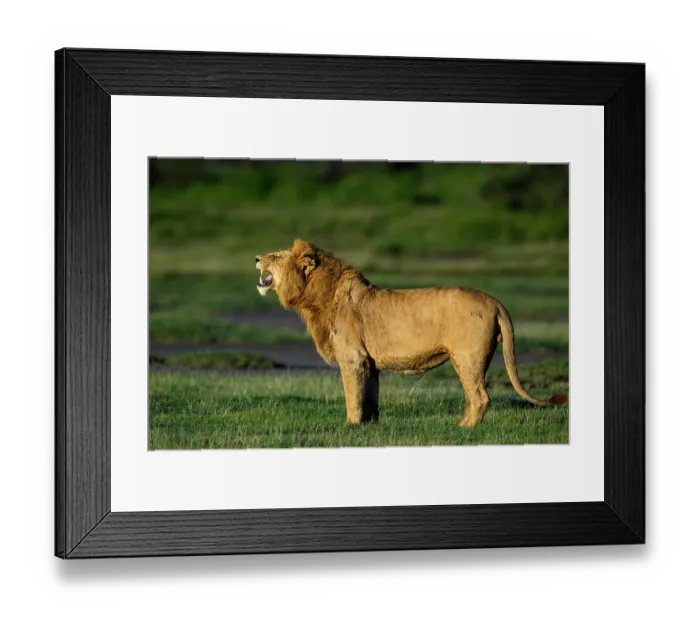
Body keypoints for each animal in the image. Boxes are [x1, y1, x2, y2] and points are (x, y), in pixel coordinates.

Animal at [255, 239, 567, 427]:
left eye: (275, 256)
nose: (256, 258)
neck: (317, 297)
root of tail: (493, 300)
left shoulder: (353, 359)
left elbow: (352, 396)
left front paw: (351, 426)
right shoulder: (369, 363)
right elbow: (370, 397)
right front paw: (370, 426)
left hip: (467, 357)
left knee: (480, 396)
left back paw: (465, 430)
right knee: (472, 396)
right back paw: (460, 425)